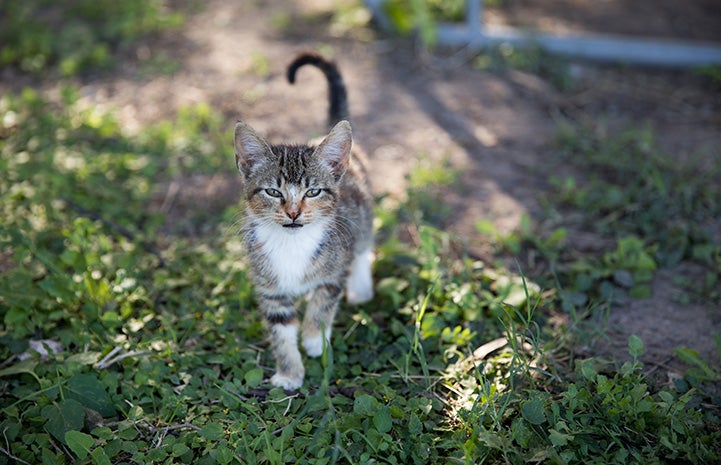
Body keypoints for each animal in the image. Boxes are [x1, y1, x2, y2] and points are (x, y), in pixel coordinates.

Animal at [233, 52, 374, 390]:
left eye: (313, 191)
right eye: (273, 191)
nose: (294, 213)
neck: (292, 244)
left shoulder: (335, 270)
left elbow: (322, 303)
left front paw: (313, 338)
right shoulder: (270, 289)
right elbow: (281, 331)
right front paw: (289, 373)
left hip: (361, 216)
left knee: (364, 246)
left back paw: (361, 286)